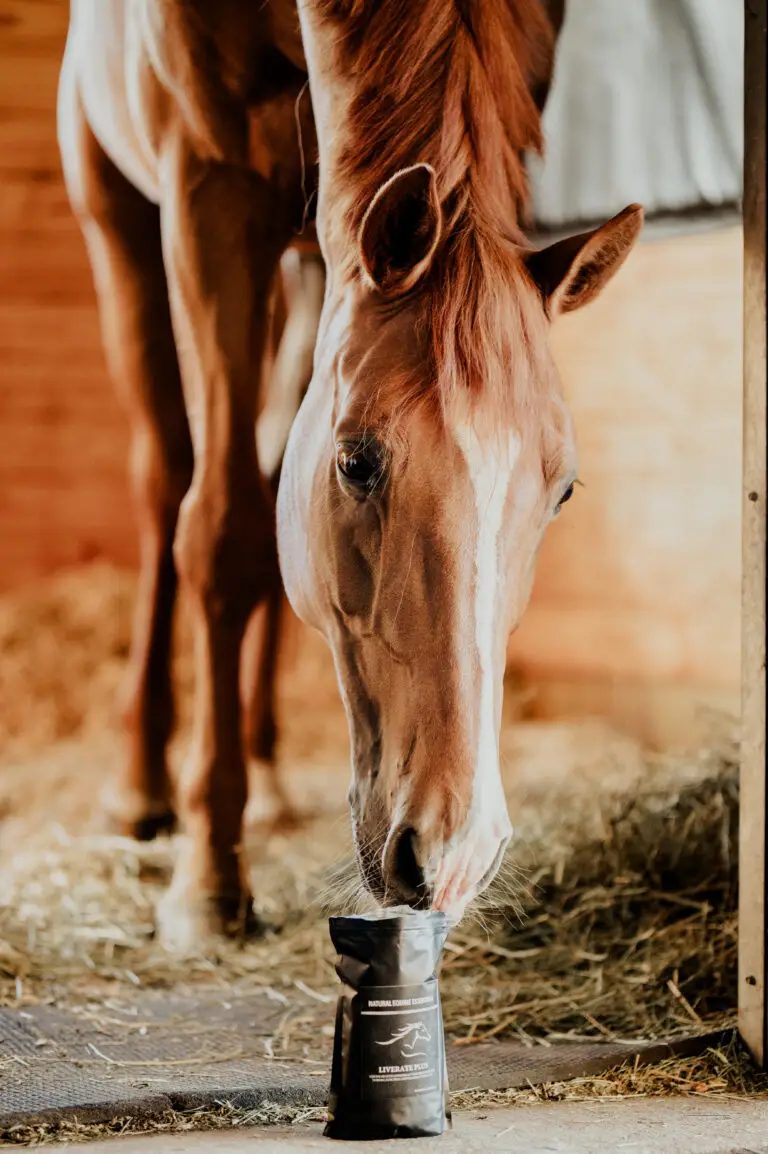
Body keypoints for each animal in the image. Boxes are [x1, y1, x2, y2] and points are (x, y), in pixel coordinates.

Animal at [58, 0, 642, 948]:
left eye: (562, 491)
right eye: (356, 462)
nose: (453, 853)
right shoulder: (207, 193)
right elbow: (219, 531)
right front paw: (206, 881)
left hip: (305, 271)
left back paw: (263, 775)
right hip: (117, 213)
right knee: (167, 480)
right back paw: (140, 788)